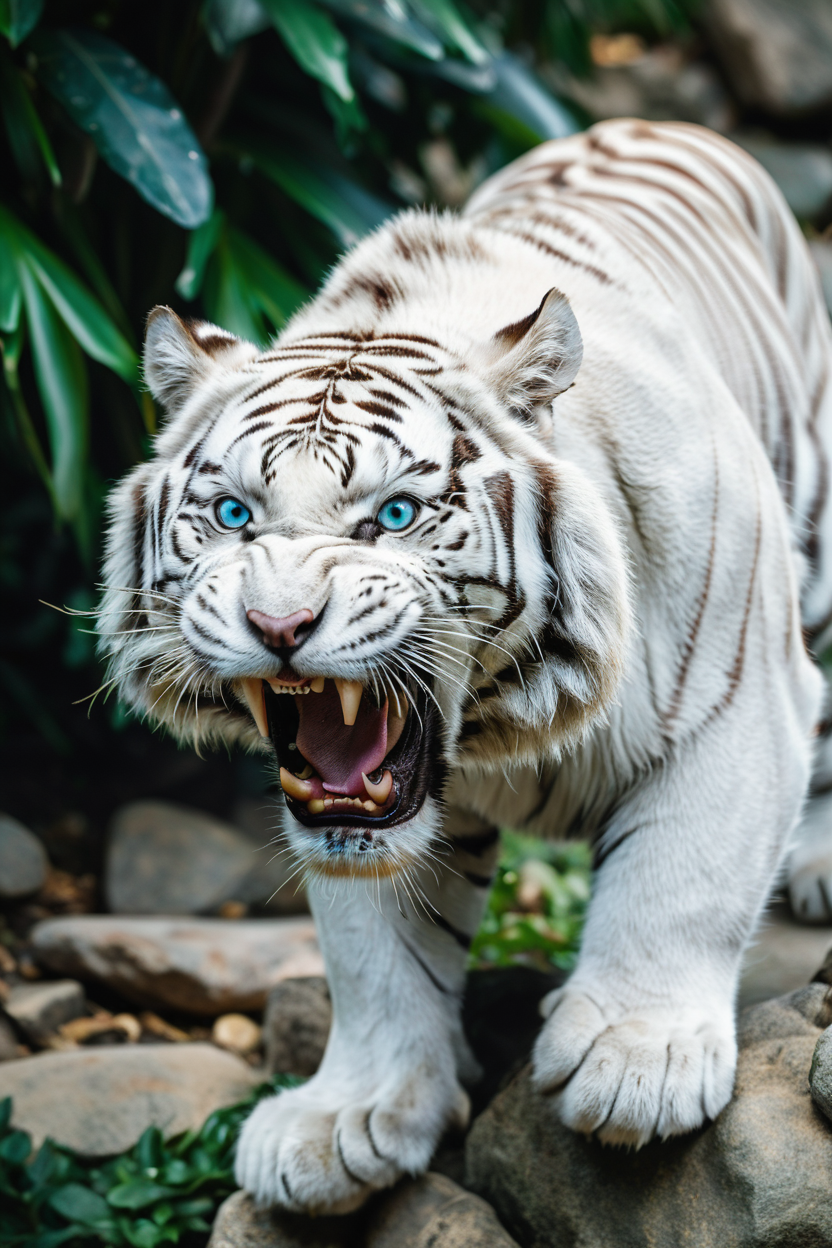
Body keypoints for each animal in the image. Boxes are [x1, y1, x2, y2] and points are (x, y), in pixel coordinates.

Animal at [99, 121, 832, 1213]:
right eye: (233, 515)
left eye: (395, 514)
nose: (279, 623)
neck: (504, 716)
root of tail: (649, 124)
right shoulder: (347, 819)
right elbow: (372, 951)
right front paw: (349, 1118)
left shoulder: (739, 699)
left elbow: (682, 875)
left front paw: (635, 1065)